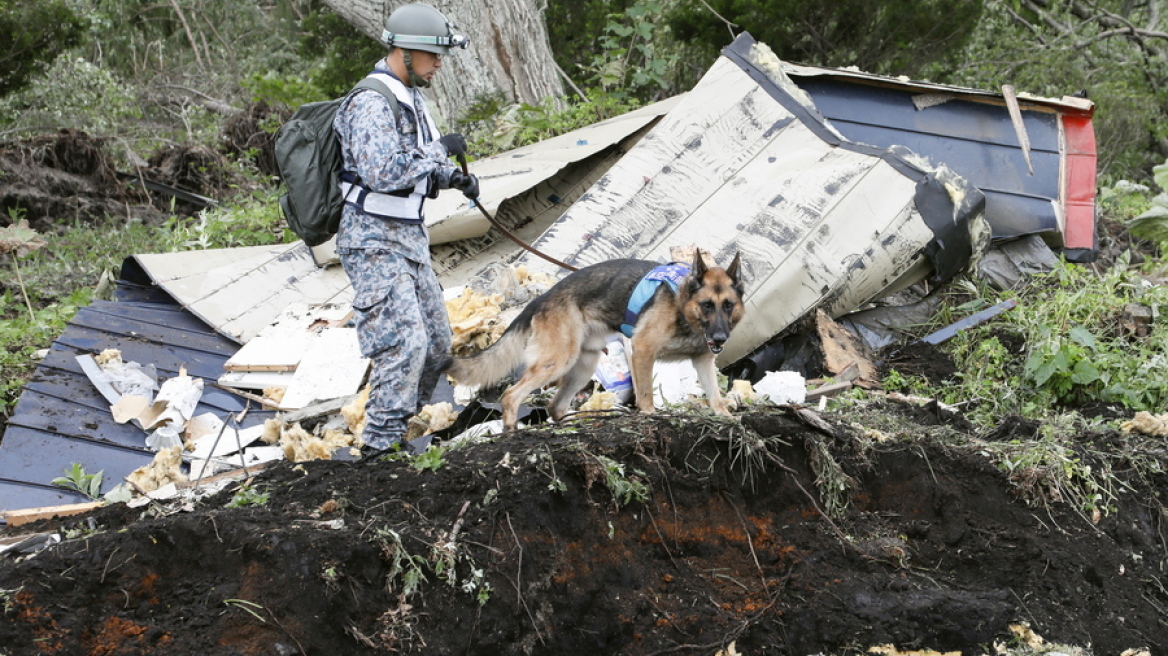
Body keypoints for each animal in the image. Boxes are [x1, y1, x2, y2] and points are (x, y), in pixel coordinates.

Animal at [446, 249, 747, 429]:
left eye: (728, 305)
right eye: (707, 305)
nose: (720, 337)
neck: (683, 305)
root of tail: (541, 299)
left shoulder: (703, 361)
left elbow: (715, 396)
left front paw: (726, 417)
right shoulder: (642, 350)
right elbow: (645, 394)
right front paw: (650, 416)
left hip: (582, 367)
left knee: (555, 405)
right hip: (558, 361)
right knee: (510, 395)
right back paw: (512, 432)